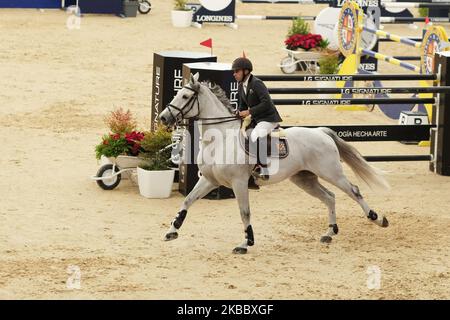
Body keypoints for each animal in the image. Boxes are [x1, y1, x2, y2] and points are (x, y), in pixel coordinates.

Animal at [159, 73, 390, 255]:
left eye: (185, 96)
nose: (163, 118)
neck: (220, 139)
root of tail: (320, 131)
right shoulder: (210, 180)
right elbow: (187, 201)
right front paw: (172, 230)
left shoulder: (239, 183)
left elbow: (244, 212)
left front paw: (246, 243)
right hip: (304, 179)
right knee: (330, 197)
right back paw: (329, 233)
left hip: (331, 172)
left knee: (353, 190)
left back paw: (377, 219)